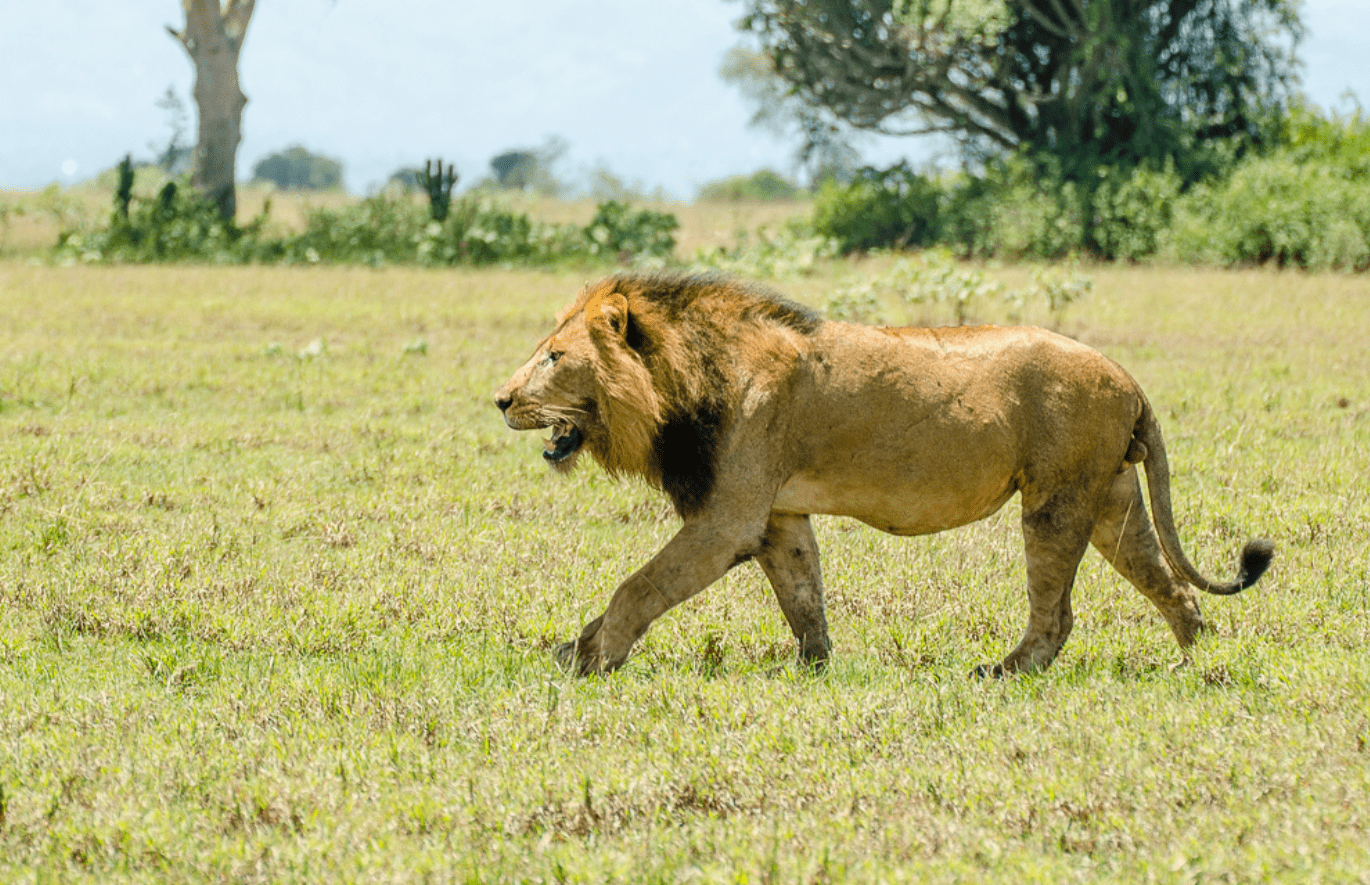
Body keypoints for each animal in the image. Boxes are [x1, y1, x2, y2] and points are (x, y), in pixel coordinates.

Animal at [495, 271, 1273, 676]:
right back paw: (1200, 662)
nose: (501, 399)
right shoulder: (777, 516)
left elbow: (638, 586)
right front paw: (815, 669)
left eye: (555, 357)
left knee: (1057, 613)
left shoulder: (727, 518)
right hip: (1110, 499)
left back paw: (1003, 671)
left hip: (1055, 499)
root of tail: (1129, 378)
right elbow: (803, 597)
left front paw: (592, 661)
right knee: (1171, 584)